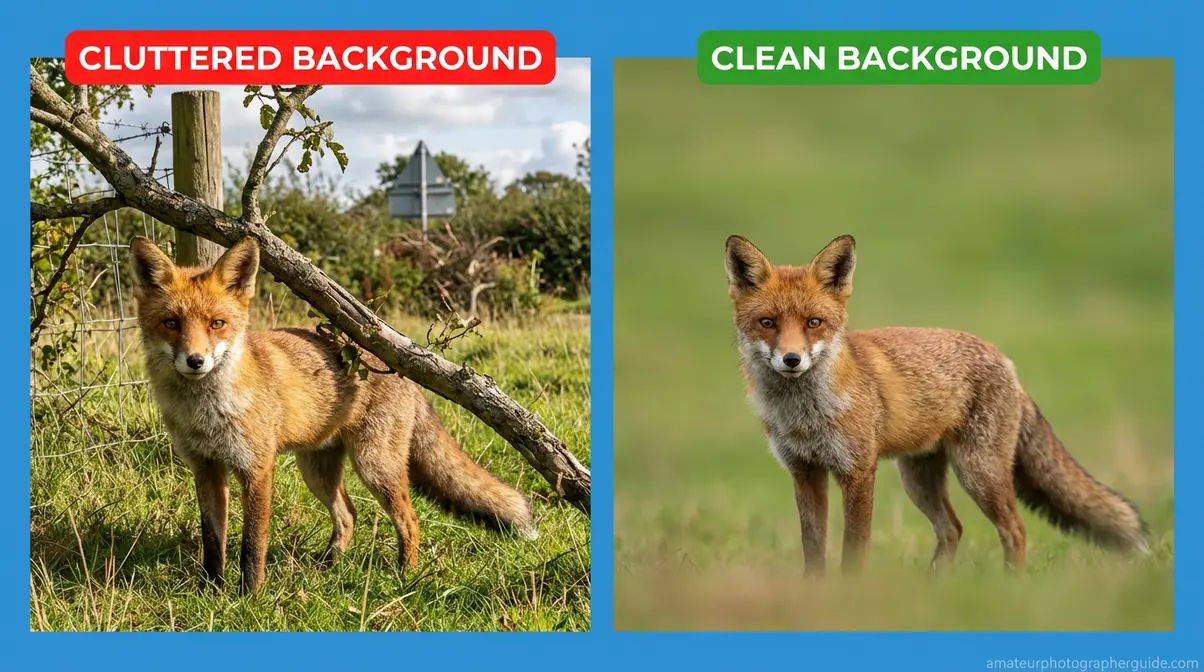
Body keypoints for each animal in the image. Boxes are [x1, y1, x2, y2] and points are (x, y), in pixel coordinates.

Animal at [129, 235, 537, 594]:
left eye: (217, 324)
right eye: (171, 323)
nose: (196, 361)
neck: (206, 414)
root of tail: (397, 366)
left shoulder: (256, 469)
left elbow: (252, 544)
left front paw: (249, 597)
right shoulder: (206, 469)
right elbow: (213, 542)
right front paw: (211, 592)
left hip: (374, 467)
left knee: (409, 519)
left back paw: (405, 575)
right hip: (317, 471)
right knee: (348, 515)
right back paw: (327, 566)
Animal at [723, 233, 1150, 576]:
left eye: (814, 323)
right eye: (767, 323)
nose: (792, 359)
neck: (805, 417)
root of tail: (1006, 361)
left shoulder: (857, 472)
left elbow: (853, 551)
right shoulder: (805, 472)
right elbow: (813, 552)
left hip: (978, 472)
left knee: (1014, 529)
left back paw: (1011, 585)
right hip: (919, 480)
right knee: (952, 530)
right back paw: (936, 586)